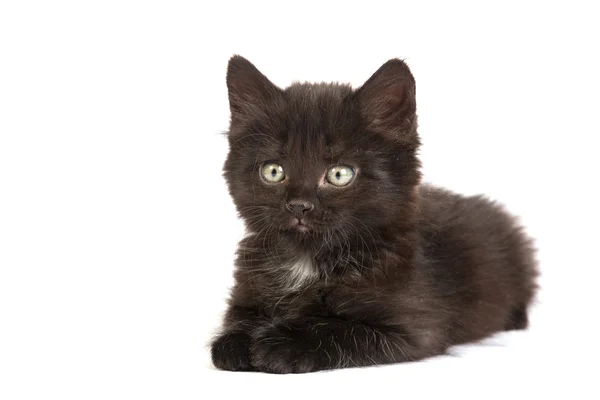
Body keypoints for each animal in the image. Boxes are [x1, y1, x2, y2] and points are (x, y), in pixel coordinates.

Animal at [211, 54, 540, 374]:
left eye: (340, 174)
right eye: (273, 171)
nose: (299, 205)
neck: (306, 259)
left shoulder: (414, 327)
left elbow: (338, 327)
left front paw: (278, 343)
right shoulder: (246, 291)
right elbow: (238, 317)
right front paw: (235, 341)